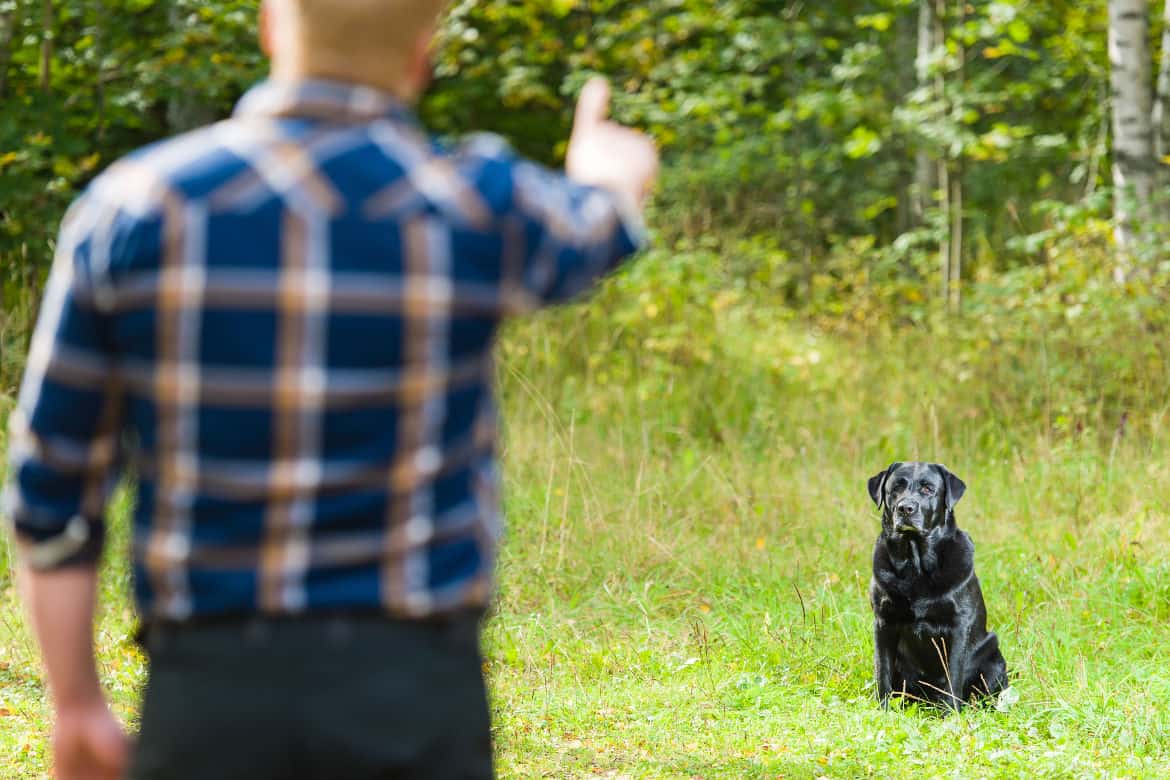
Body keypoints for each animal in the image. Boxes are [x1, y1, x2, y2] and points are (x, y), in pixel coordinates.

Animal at [870, 463, 1006, 715]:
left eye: (928, 489)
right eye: (896, 488)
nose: (905, 508)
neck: (916, 566)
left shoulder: (958, 627)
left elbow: (953, 674)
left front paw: (951, 714)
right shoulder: (883, 622)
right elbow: (882, 671)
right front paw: (883, 709)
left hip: (993, 656)